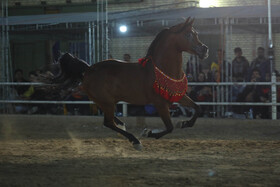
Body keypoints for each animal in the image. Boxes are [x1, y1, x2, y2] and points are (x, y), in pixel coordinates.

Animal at [55, 18, 208, 150]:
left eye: (196, 33)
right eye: (188, 34)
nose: (205, 50)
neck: (162, 69)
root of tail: (88, 69)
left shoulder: (178, 96)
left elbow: (198, 108)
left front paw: (183, 123)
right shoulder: (160, 103)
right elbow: (169, 127)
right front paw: (148, 133)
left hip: (105, 101)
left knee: (110, 119)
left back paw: (123, 126)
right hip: (106, 102)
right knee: (108, 122)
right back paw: (135, 141)